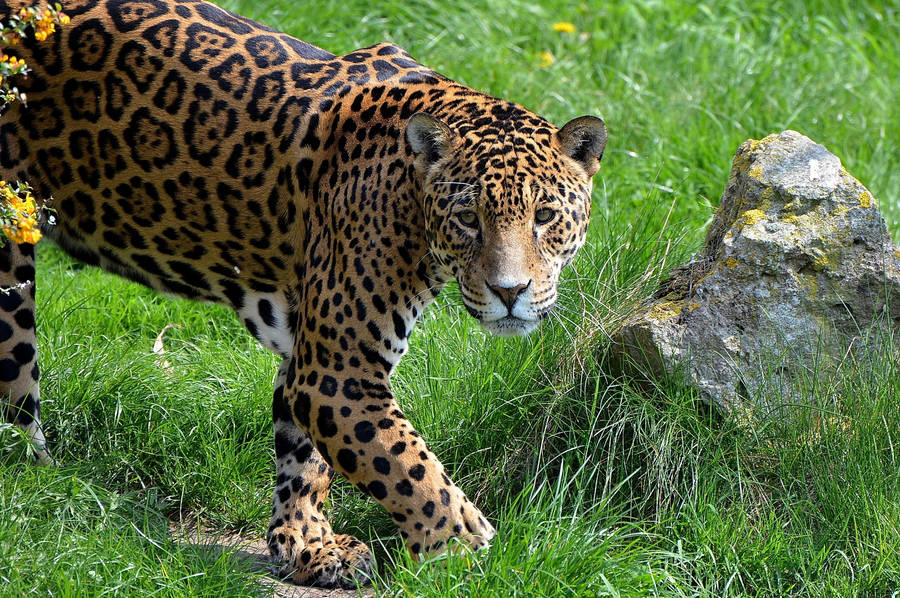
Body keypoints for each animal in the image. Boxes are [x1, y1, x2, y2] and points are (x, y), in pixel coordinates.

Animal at [0, 0, 607, 588]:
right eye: (467, 219)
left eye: (545, 216)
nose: (510, 291)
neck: (408, 199)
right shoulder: (338, 372)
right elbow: (409, 468)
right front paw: (467, 555)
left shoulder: (308, 356)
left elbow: (305, 459)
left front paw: (307, 548)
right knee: (16, 381)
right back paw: (39, 485)